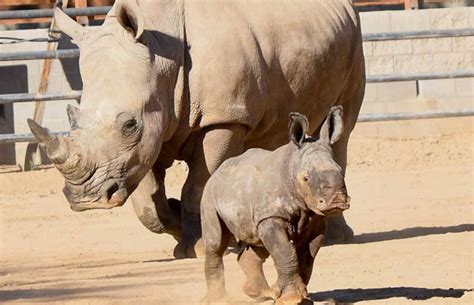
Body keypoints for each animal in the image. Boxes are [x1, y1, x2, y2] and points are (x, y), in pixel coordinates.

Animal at [27, 0, 364, 258]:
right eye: (73, 118)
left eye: (129, 125)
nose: (86, 199)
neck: (162, 58)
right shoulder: (151, 135)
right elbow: (148, 202)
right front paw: (178, 229)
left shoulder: (223, 118)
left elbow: (198, 185)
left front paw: (199, 246)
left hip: (355, 41)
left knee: (341, 131)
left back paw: (337, 237)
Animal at [202, 105, 350, 302]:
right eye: (306, 178)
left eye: (341, 171)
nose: (337, 200)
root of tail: (219, 170)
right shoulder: (271, 216)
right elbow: (286, 252)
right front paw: (292, 299)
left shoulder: (315, 219)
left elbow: (307, 256)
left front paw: (299, 295)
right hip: (209, 194)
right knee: (216, 243)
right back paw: (217, 299)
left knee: (258, 243)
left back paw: (262, 294)